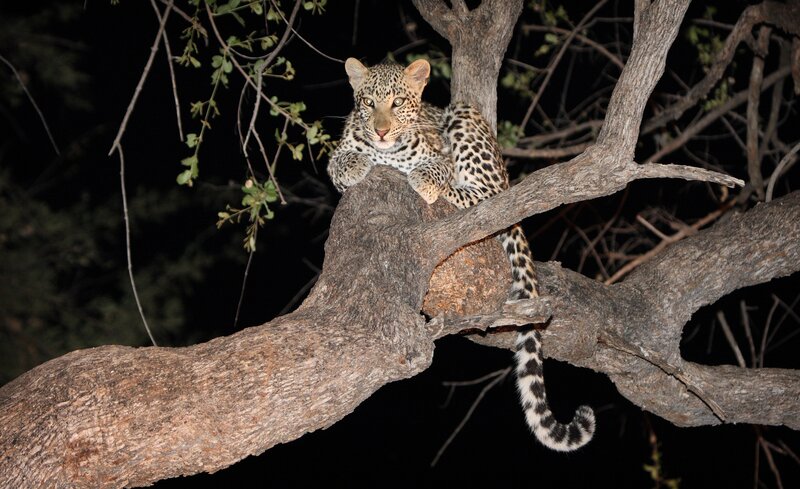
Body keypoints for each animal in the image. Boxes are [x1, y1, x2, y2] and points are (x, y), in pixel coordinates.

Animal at [327, 57, 595, 452]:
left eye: (397, 102)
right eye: (369, 103)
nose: (381, 131)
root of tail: (506, 174)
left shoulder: (440, 153)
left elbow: (435, 166)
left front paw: (422, 178)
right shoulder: (340, 155)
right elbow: (340, 162)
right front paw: (357, 162)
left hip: (466, 122)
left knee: (486, 196)